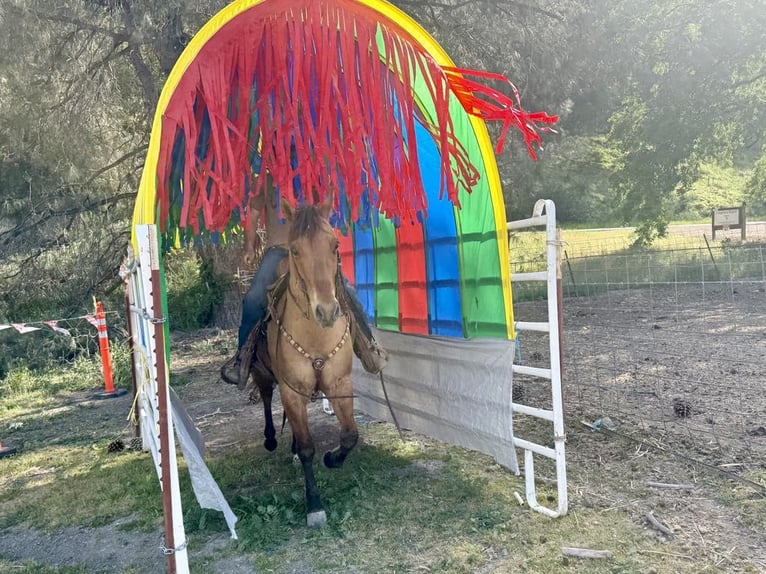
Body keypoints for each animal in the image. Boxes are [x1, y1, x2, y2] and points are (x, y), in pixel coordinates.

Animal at [246, 193, 358, 528]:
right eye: (295, 249)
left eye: (334, 244)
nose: (327, 311)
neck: (314, 335)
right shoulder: (292, 389)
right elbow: (308, 447)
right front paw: (314, 505)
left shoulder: (339, 384)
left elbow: (350, 435)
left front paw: (332, 458)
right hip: (262, 374)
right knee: (266, 398)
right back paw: (272, 439)